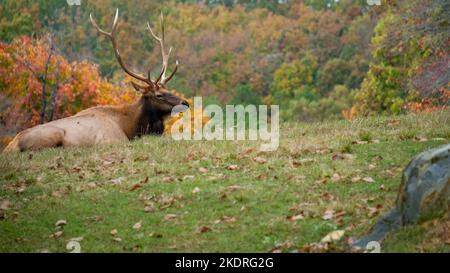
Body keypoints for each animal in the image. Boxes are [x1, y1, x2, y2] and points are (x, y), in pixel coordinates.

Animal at [3, 9, 187, 153]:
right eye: (159, 95)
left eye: (168, 89)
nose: (185, 102)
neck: (130, 126)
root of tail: (10, 147)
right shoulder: (113, 140)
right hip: (53, 135)